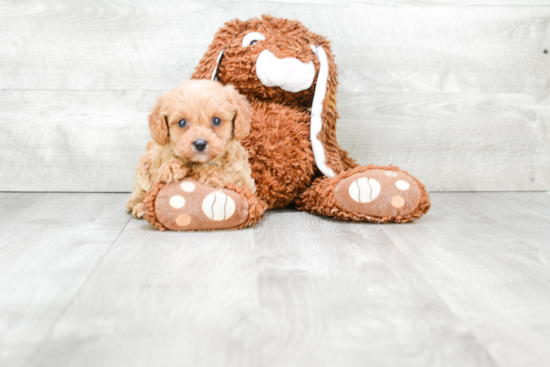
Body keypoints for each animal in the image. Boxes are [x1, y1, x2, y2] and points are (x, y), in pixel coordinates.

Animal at [129, 80, 256, 218]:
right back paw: (140, 206)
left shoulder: (244, 179)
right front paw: (171, 167)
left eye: (216, 120)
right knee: (138, 194)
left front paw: (212, 173)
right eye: (182, 122)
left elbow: (228, 173)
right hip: (144, 168)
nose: (200, 143)